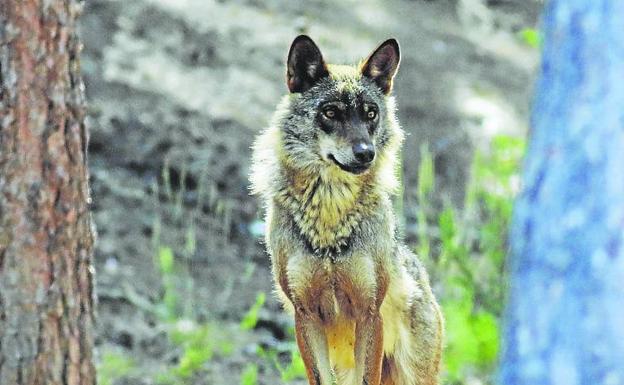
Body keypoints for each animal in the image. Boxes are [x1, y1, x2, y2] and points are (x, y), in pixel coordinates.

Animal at [250, 36, 444, 384]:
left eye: (371, 114)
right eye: (330, 112)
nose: (365, 153)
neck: (329, 218)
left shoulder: (369, 313)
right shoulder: (305, 315)